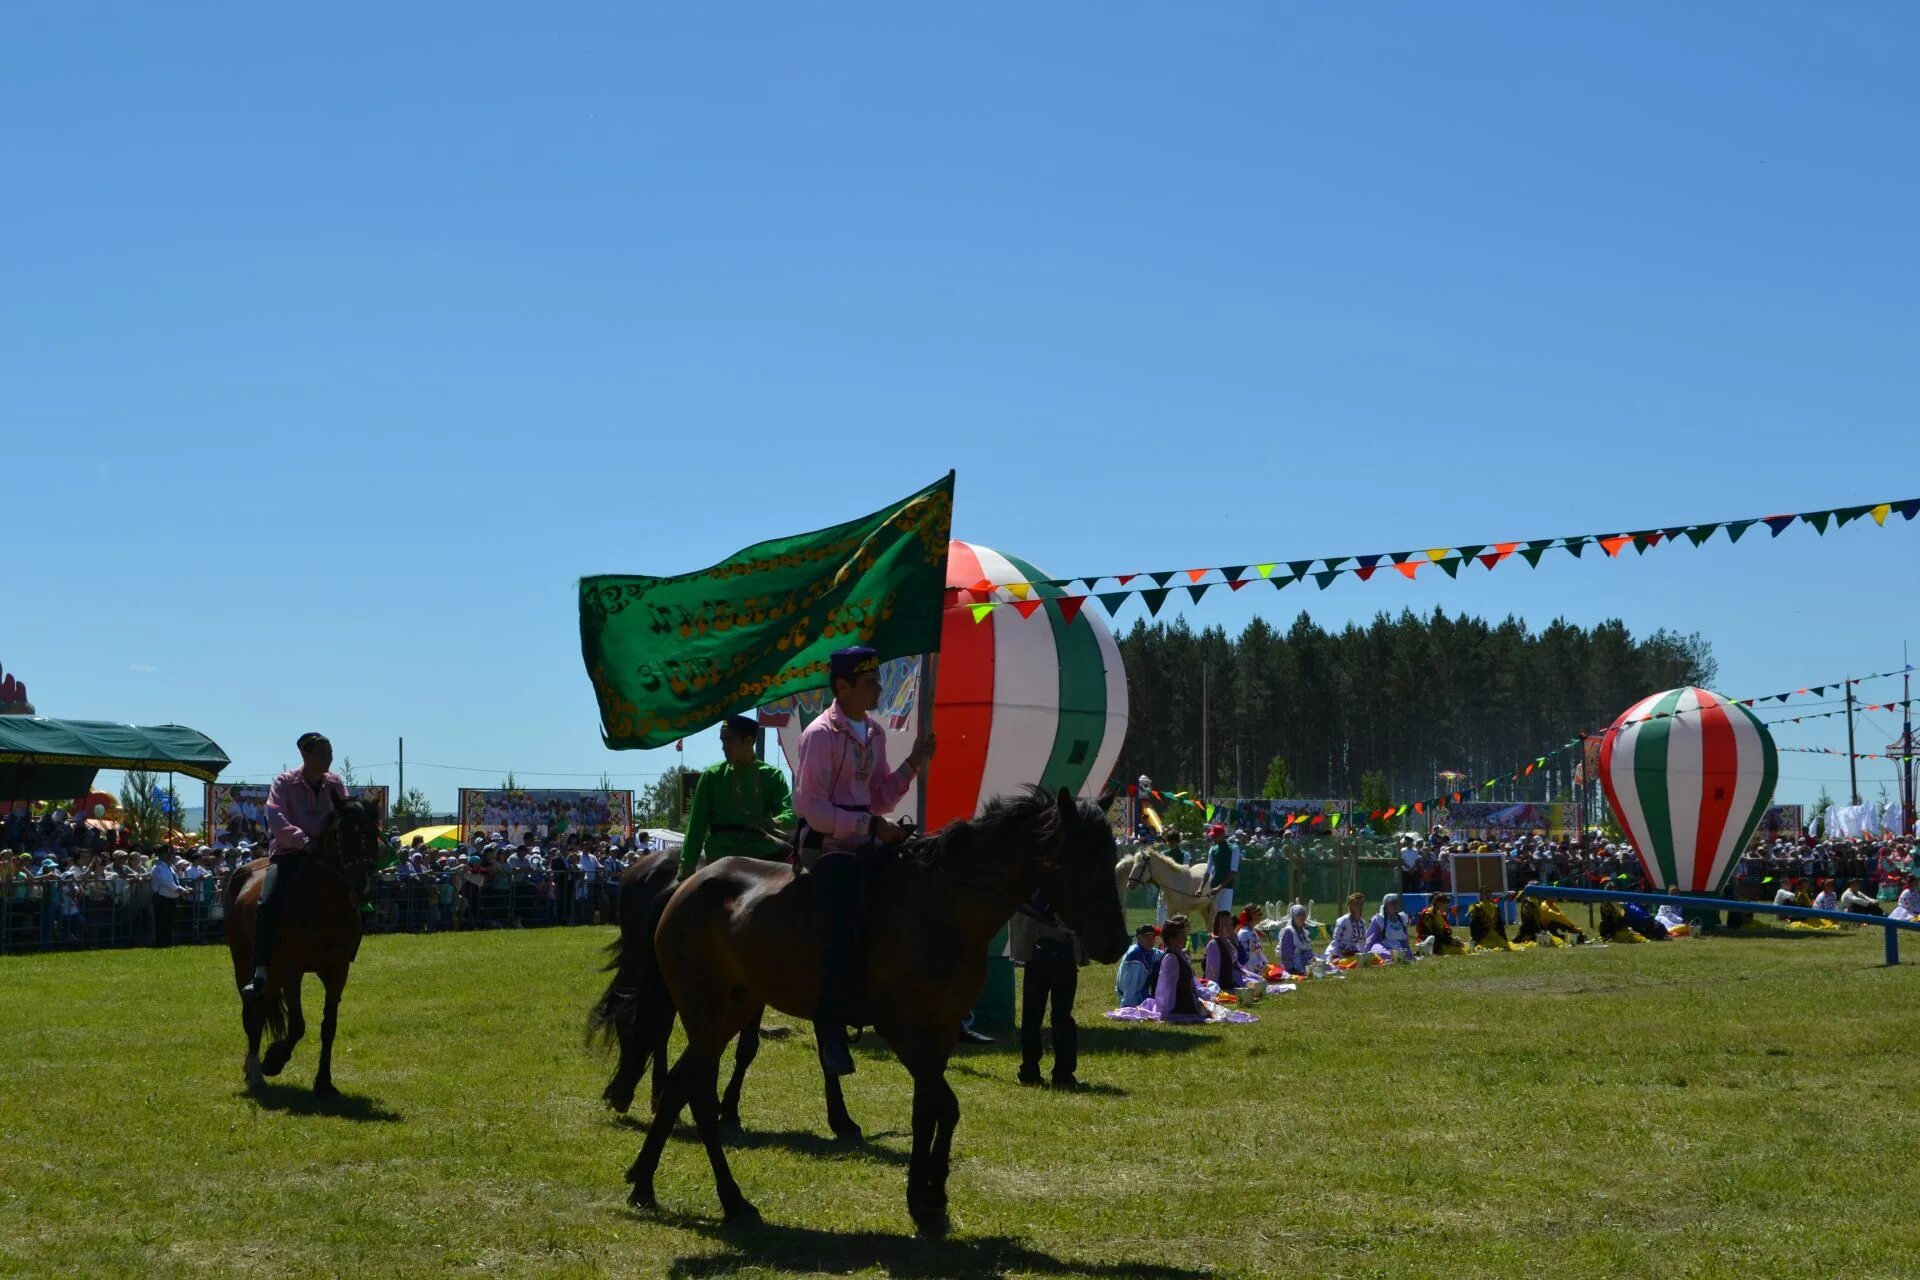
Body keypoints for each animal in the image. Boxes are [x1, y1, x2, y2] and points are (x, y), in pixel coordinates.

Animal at [222, 794, 384, 1097]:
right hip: (245, 962)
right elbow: (297, 1025)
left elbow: (328, 1026)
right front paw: (273, 1060)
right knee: (252, 1012)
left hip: (272, 973)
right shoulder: (292, 971)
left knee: (261, 1009)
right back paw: (254, 1072)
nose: (364, 889)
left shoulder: (337, 972)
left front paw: (324, 1082)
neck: (325, 904)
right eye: (341, 833)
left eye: (373, 832)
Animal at [618, 786, 1121, 1235]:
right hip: (706, 1012)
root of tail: (685, 884)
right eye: (1080, 859)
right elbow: (944, 1104)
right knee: (699, 1094)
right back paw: (733, 1200)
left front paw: (928, 1198)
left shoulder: (939, 1031)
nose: (1113, 941)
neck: (945, 905)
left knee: (679, 1084)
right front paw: (926, 1198)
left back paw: (644, 1183)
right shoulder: (902, 1027)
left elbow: (930, 1109)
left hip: (730, 1013)